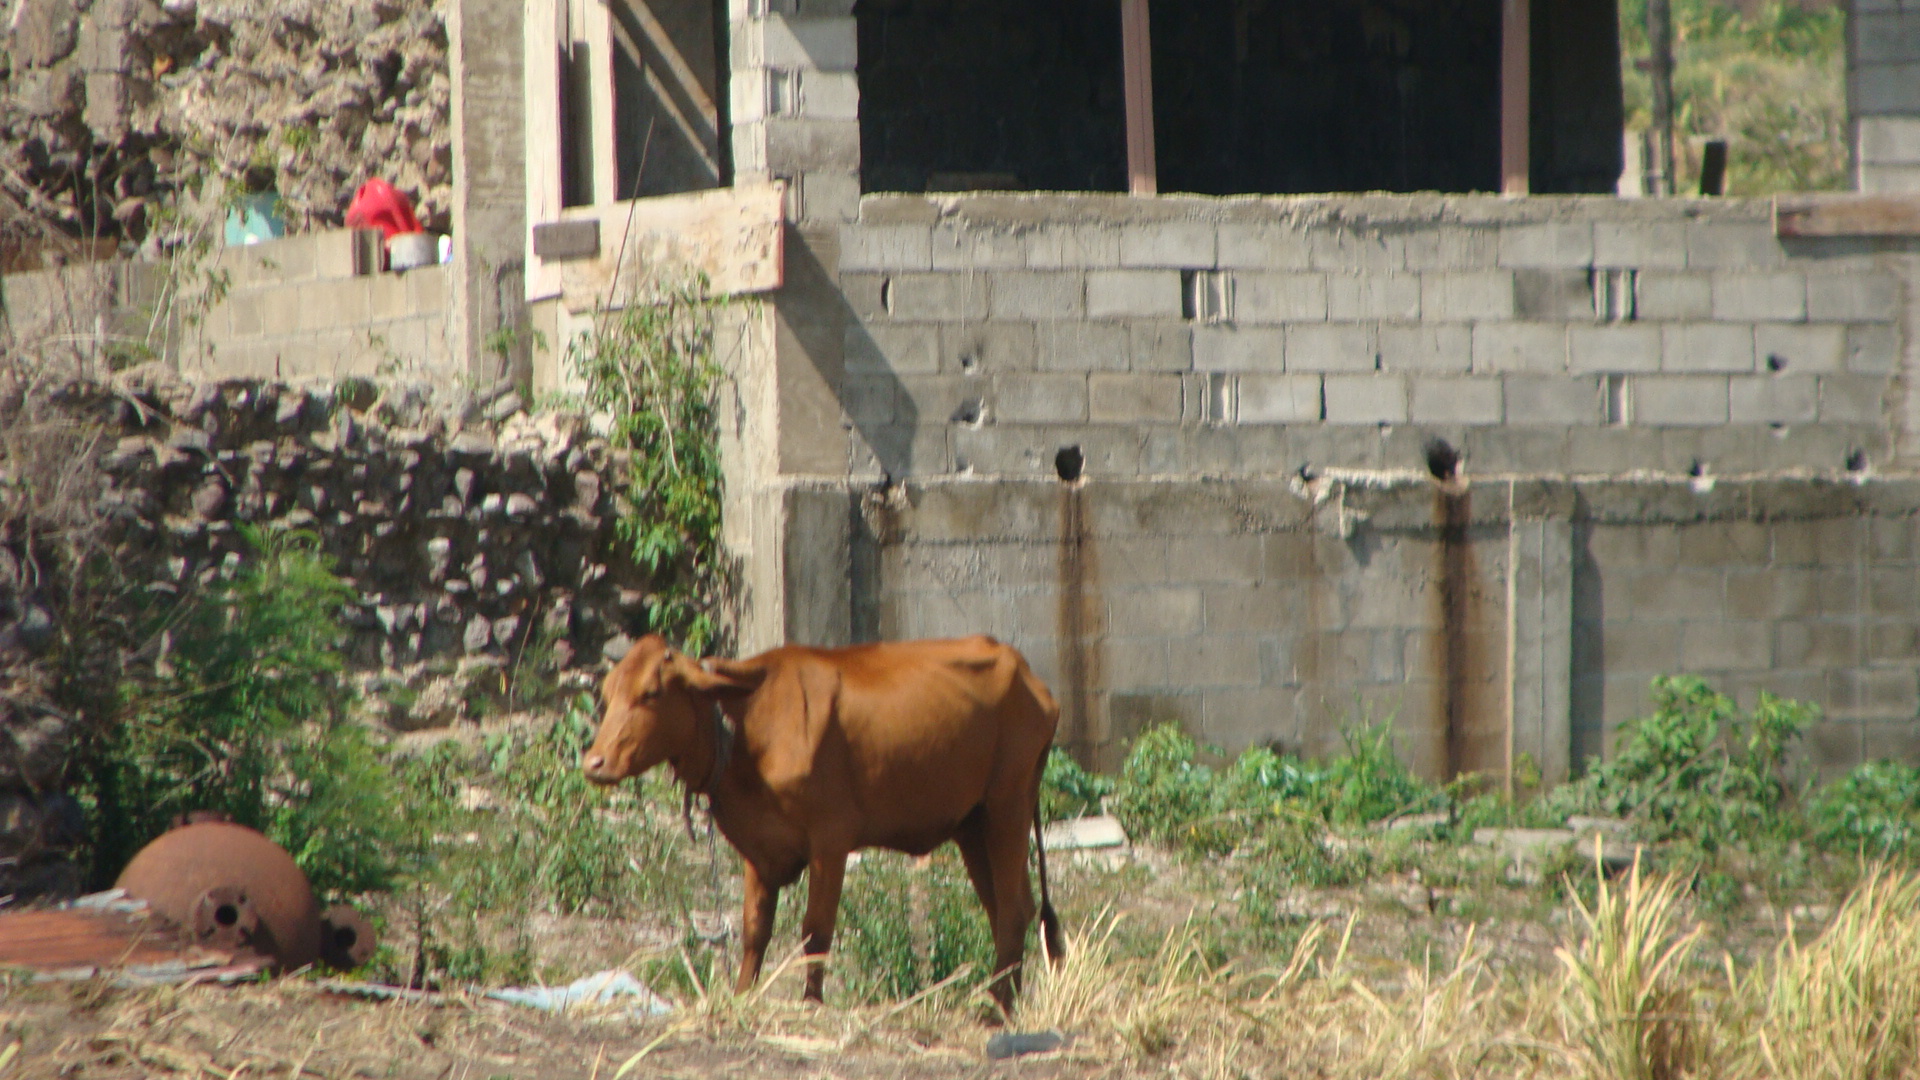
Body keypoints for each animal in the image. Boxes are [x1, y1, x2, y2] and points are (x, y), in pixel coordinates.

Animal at [583, 630, 1067, 999]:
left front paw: (811, 1003)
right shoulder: (760, 847)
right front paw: (741, 999)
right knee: (1009, 907)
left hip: (1008, 805)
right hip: (973, 824)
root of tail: (1024, 669)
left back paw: (996, 1009)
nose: (594, 762)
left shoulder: (830, 840)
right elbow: (755, 929)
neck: (748, 729)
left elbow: (816, 931)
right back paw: (1006, 999)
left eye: (651, 693)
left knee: (1012, 909)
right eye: (607, 694)